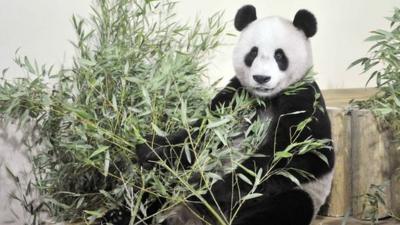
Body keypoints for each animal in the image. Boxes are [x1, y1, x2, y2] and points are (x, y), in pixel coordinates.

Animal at [102, 3, 334, 225]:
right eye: (252, 53)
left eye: (279, 55)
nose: (261, 78)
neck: (265, 99)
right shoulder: (235, 97)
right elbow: (198, 134)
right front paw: (152, 148)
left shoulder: (303, 98)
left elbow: (303, 153)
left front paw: (213, 187)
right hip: (171, 183)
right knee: (152, 188)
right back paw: (119, 216)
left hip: (288, 196)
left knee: (284, 207)